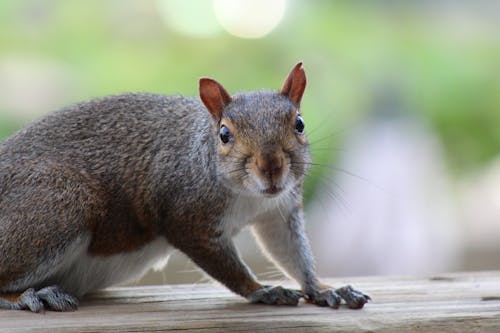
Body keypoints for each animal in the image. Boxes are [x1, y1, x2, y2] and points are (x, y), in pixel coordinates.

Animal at [0, 62, 368, 312]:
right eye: (224, 134)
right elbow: (223, 265)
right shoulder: (186, 216)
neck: (248, 196)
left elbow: (291, 252)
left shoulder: (278, 210)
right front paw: (262, 289)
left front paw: (322, 288)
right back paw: (28, 295)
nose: (271, 169)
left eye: (299, 124)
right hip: (59, 206)